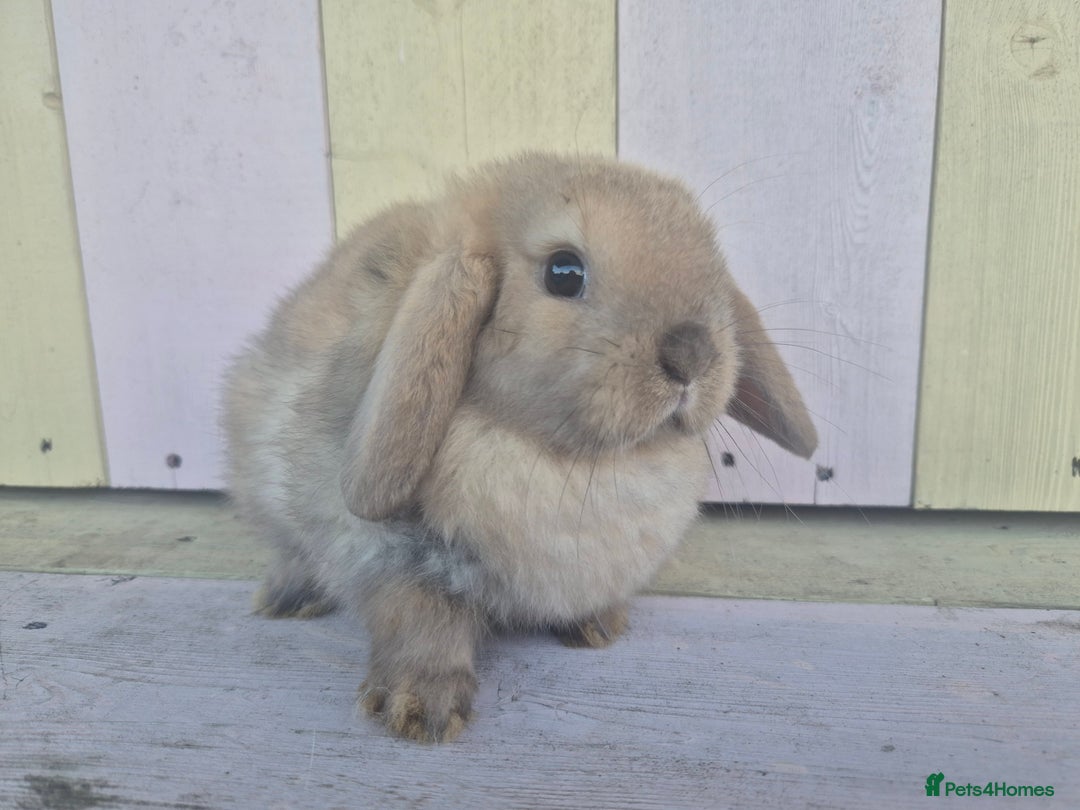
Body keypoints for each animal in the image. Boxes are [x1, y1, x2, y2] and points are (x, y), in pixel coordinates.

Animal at [222, 152, 817, 743]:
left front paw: (599, 625)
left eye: (712, 264)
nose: (693, 354)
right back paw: (288, 598)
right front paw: (422, 710)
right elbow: (420, 619)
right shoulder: (389, 556)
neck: (577, 461)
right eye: (564, 272)